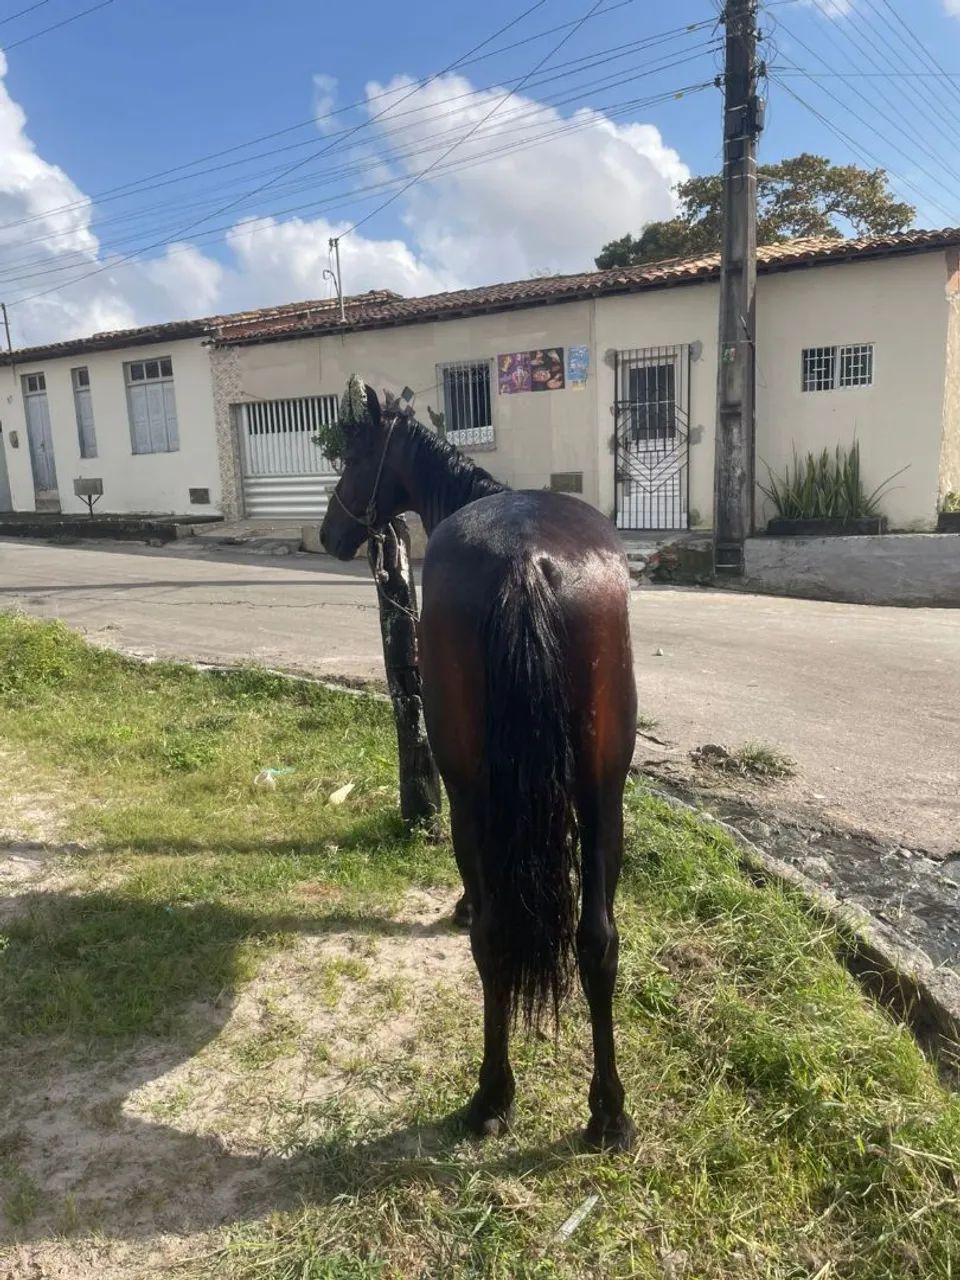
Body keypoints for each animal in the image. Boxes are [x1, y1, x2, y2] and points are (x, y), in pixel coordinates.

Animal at [320, 380, 637, 1150]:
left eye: (356, 456)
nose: (329, 533)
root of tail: (528, 563)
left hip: (472, 798)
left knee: (492, 939)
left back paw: (491, 1095)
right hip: (603, 795)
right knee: (598, 941)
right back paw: (609, 1113)